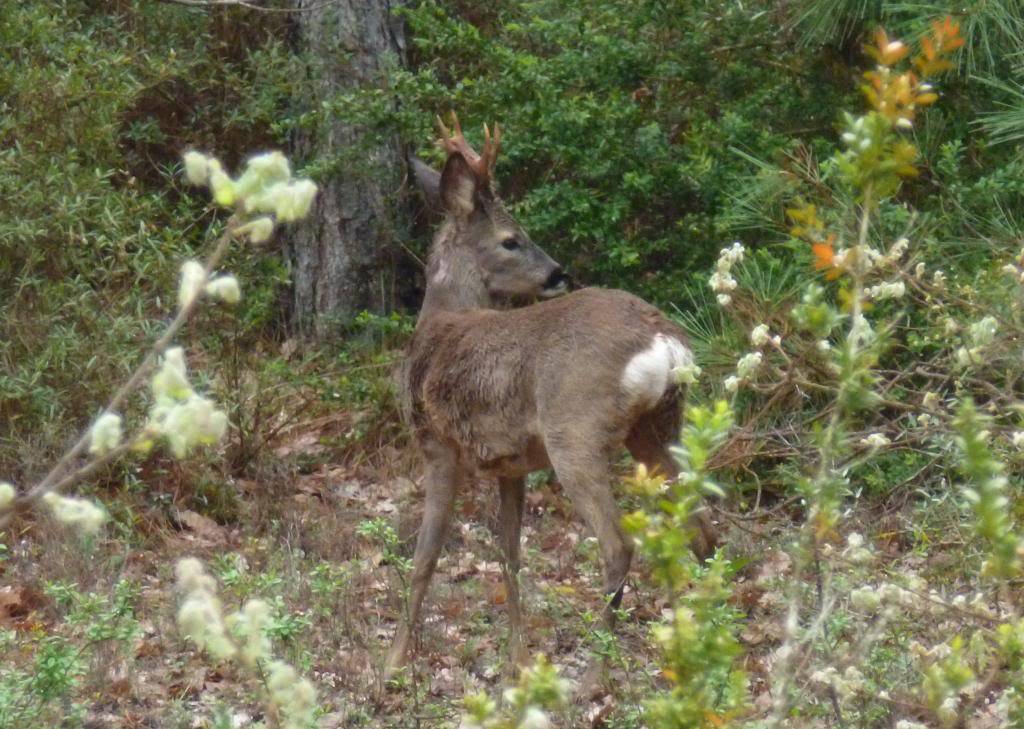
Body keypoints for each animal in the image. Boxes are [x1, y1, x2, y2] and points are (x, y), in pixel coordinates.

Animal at [387, 115, 716, 675]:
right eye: (512, 240)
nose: (558, 273)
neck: (441, 320)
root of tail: (664, 340)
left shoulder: (437, 444)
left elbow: (425, 557)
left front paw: (393, 662)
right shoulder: (511, 464)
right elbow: (511, 558)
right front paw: (518, 660)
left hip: (575, 431)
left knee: (618, 544)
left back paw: (596, 672)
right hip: (659, 427)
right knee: (703, 531)